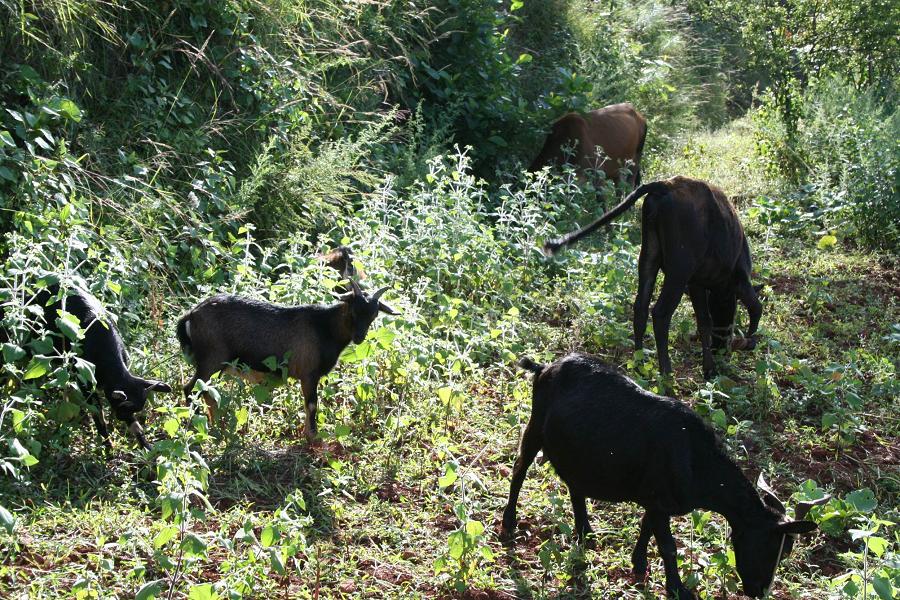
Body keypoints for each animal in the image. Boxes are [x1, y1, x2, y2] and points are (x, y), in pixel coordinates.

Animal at [6, 286, 172, 450]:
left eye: (133, 410)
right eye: (122, 408)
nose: (120, 417)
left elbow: (135, 426)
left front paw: (146, 446)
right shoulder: (85, 383)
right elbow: (99, 415)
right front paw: (108, 446)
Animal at [176, 278, 398, 440]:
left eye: (374, 315)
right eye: (353, 310)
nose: (359, 337)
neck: (324, 327)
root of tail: (190, 315)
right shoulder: (309, 373)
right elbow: (312, 405)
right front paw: (313, 437)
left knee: (206, 392)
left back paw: (214, 425)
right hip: (211, 359)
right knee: (191, 388)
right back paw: (197, 426)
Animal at [502, 354, 828, 596]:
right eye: (774, 549)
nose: (758, 592)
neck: (695, 459)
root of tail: (545, 367)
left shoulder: (655, 499)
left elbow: (647, 528)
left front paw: (639, 564)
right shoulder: (658, 497)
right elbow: (668, 546)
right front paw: (677, 589)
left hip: (577, 449)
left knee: (575, 483)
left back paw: (585, 531)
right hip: (535, 425)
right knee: (520, 467)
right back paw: (509, 523)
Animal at [544, 176, 764, 386]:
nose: (722, 351)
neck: (720, 290)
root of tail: (664, 185)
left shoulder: (696, 284)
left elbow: (704, 321)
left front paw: (709, 366)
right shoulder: (738, 280)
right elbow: (755, 308)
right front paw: (743, 344)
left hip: (649, 256)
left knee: (640, 306)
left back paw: (639, 363)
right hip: (678, 270)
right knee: (660, 313)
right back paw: (666, 374)